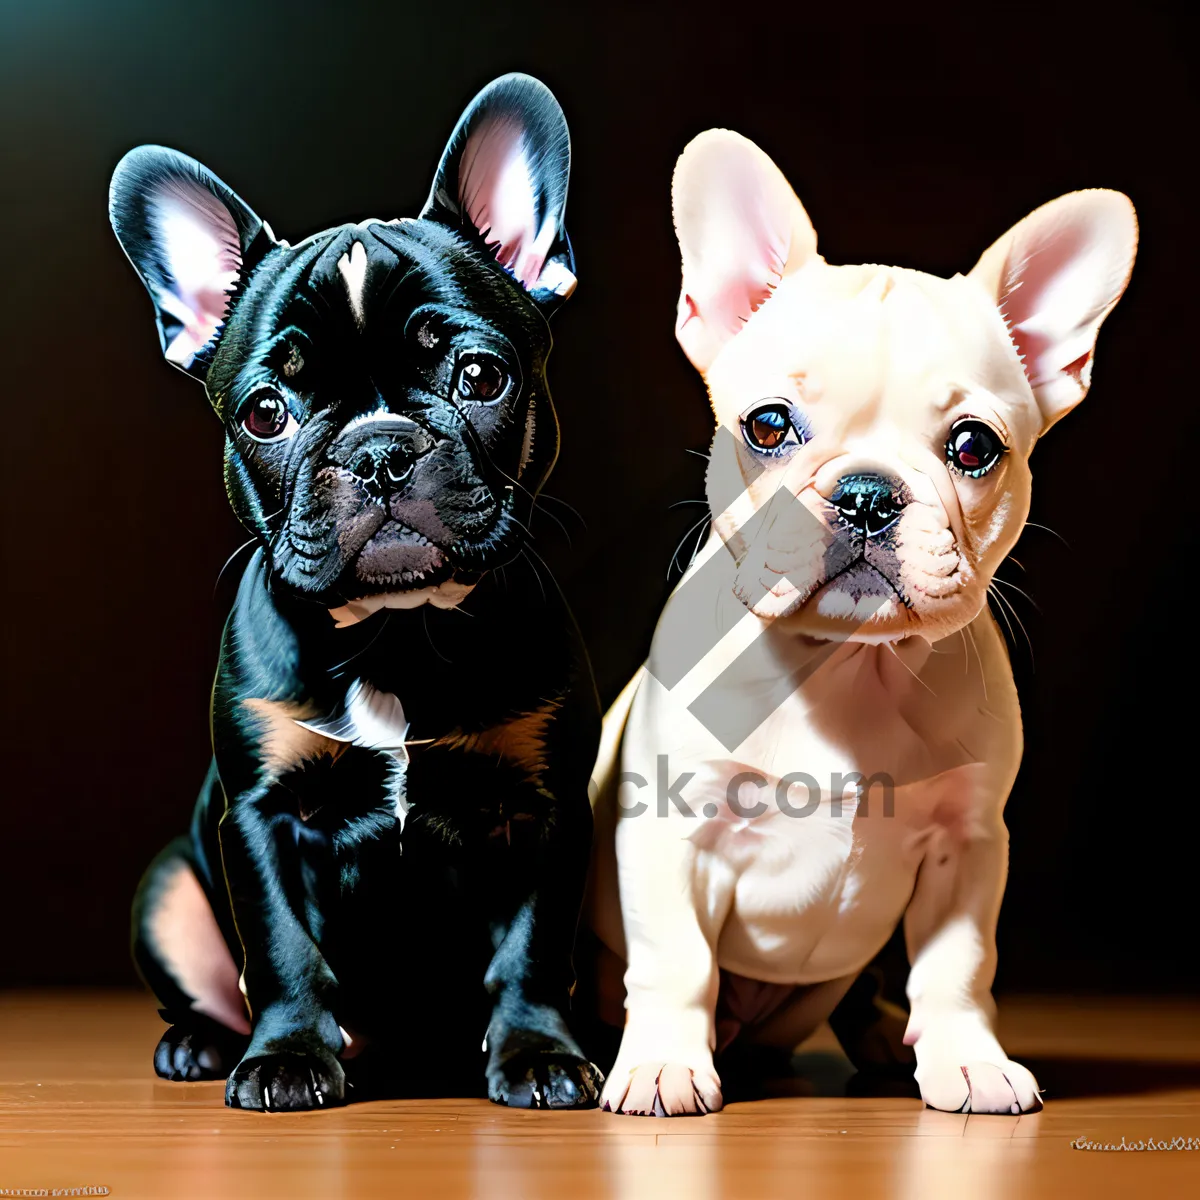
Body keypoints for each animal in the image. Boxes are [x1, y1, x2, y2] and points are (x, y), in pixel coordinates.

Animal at [110, 75, 600, 1108]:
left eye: (480, 375)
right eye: (266, 410)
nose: (377, 449)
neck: (397, 633)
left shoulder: (545, 810)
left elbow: (534, 949)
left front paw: (538, 1054)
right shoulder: (261, 818)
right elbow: (283, 951)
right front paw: (289, 1057)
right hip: (169, 889)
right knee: (208, 983)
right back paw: (202, 1045)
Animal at [588, 131, 1132, 1113]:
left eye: (973, 446)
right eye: (768, 426)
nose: (869, 494)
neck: (847, 665)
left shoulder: (967, 846)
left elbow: (959, 965)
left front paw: (968, 1057)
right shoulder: (669, 832)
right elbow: (677, 960)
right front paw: (660, 1064)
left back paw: (885, 1035)